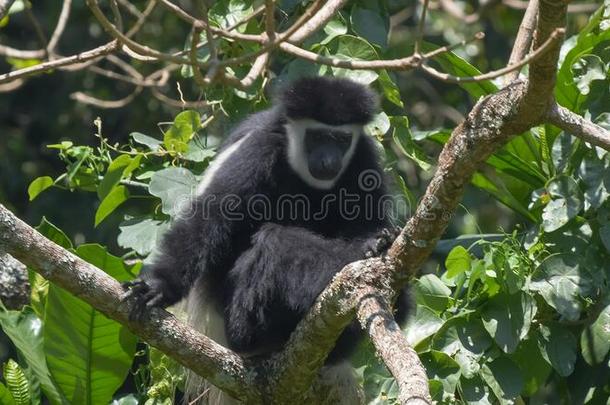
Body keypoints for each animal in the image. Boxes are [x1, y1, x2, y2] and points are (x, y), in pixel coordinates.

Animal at [124, 76, 408, 404]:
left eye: (340, 140)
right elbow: (208, 221)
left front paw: (376, 241)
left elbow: (367, 220)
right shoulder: (259, 149)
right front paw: (157, 286)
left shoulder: (363, 157)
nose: (328, 160)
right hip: (236, 320)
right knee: (276, 243)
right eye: (316, 137)